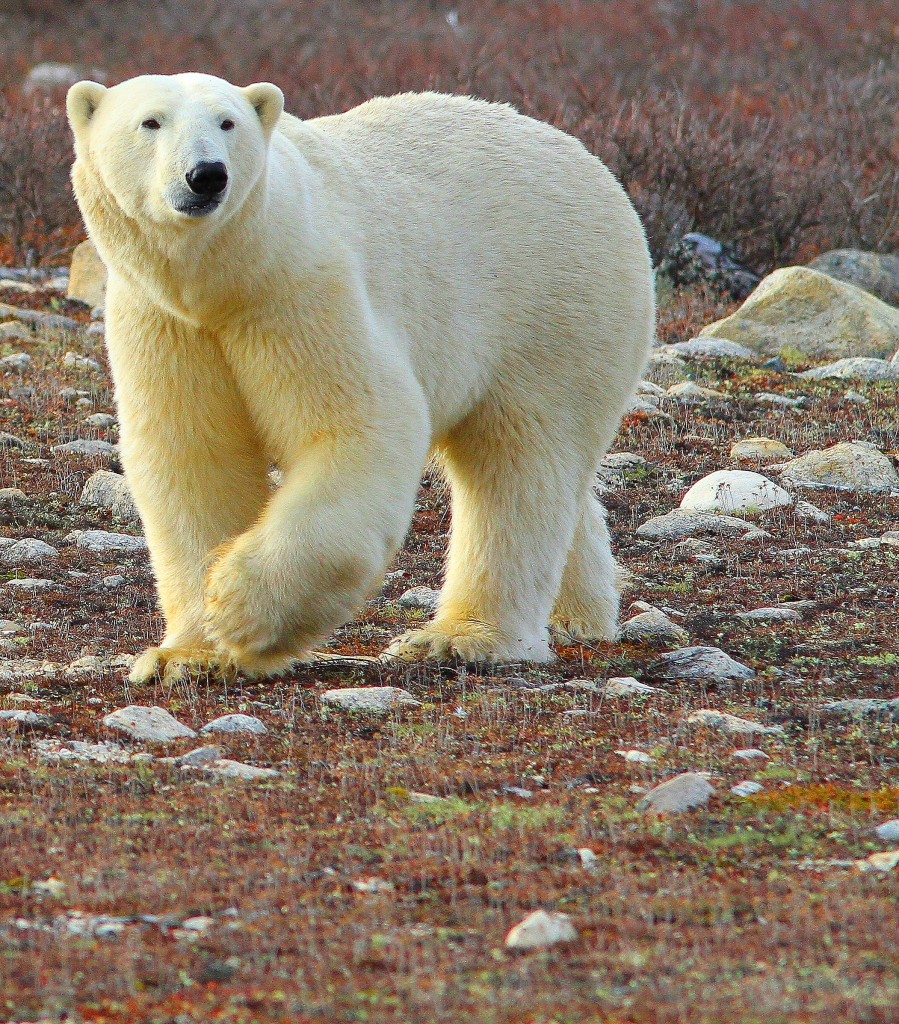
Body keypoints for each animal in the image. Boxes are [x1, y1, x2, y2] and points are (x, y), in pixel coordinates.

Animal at [65, 74, 655, 679]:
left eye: (227, 122)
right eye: (151, 121)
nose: (206, 174)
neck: (224, 281)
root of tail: (594, 166)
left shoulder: (302, 290)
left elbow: (358, 426)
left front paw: (238, 607)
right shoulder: (164, 321)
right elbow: (193, 454)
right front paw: (187, 655)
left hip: (555, 311)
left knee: (519, 461)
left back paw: (462, 637)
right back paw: (577, 616)